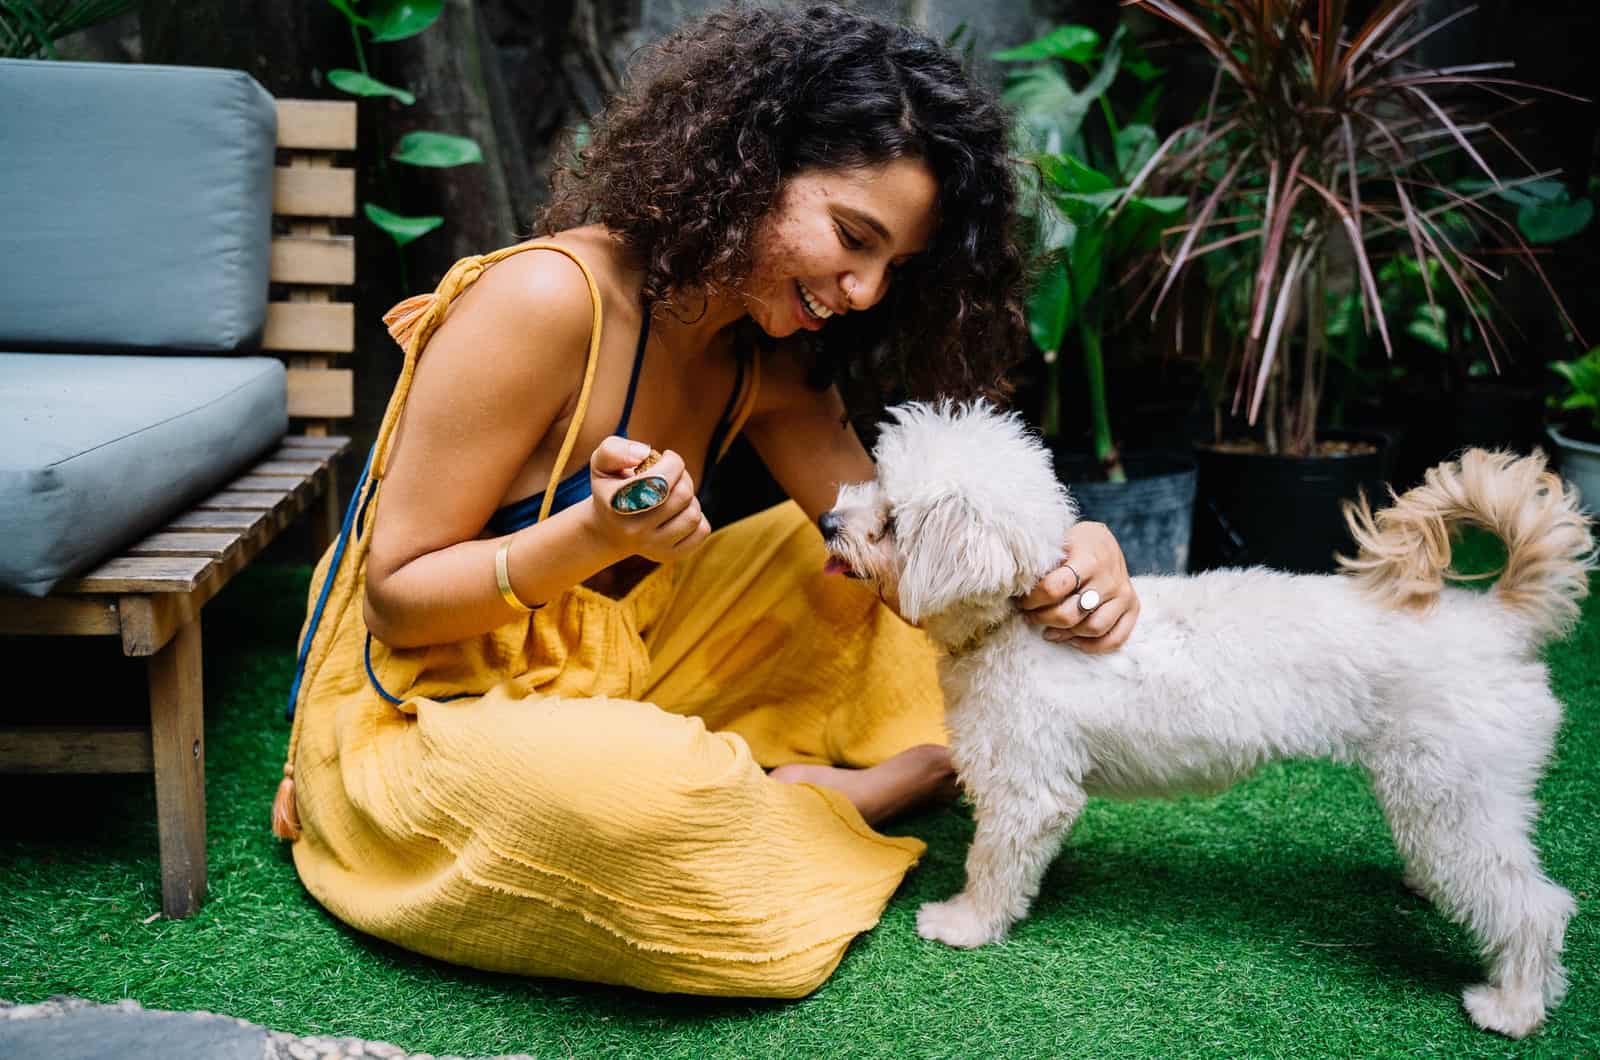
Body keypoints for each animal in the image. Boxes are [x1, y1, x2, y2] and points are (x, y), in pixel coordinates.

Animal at [819, 403, 1593, 1043]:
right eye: (873, 479)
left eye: (892, 520)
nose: (827, 522)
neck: (1014, 621)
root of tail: (1496, 618)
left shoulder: (1027, 791)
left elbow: (992, 864)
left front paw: (965, 924)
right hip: (1438, 796)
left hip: (1453, 794)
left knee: (1536, 906)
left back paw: (1513, 1007)